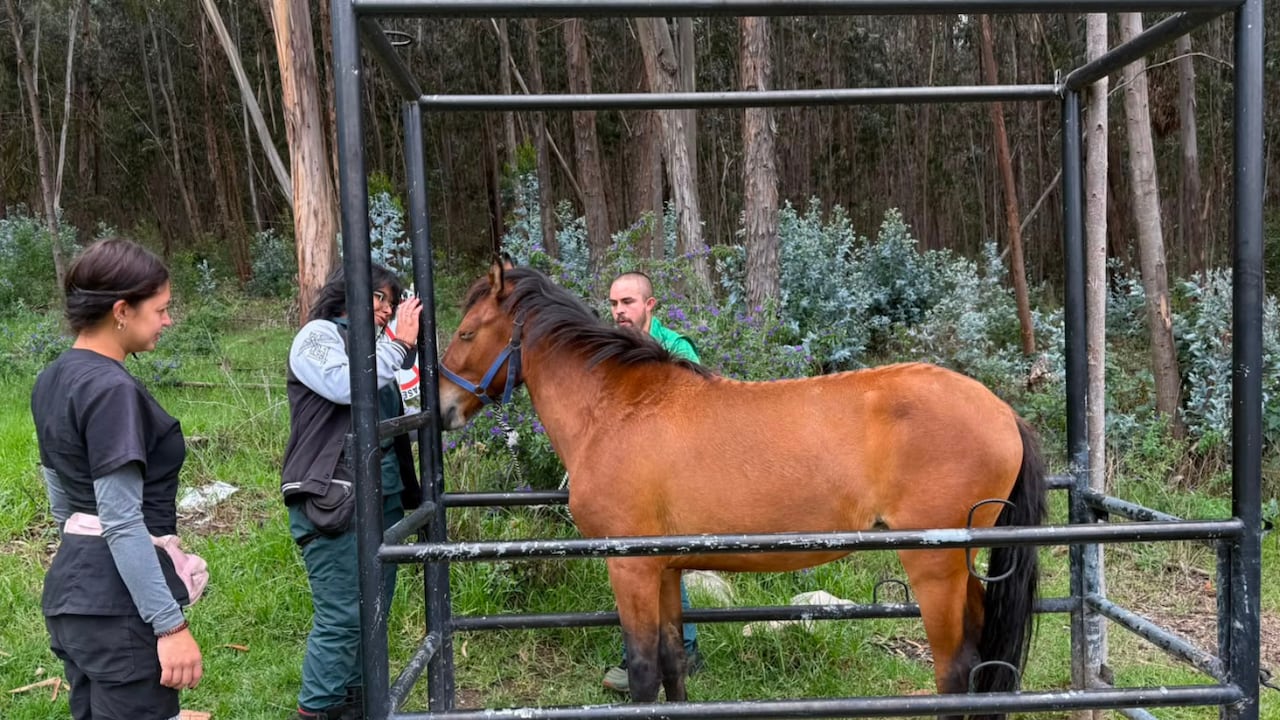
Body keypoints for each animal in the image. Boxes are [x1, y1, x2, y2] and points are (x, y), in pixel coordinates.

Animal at [437, 263, 1046, 718]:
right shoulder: (665, 570)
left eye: (466, 333)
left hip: (934, 566)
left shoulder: (630, 567)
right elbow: (671, 666)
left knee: (955, 671)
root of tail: (1004, 413)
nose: (441, 407)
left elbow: (642, 674)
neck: (614, 409)